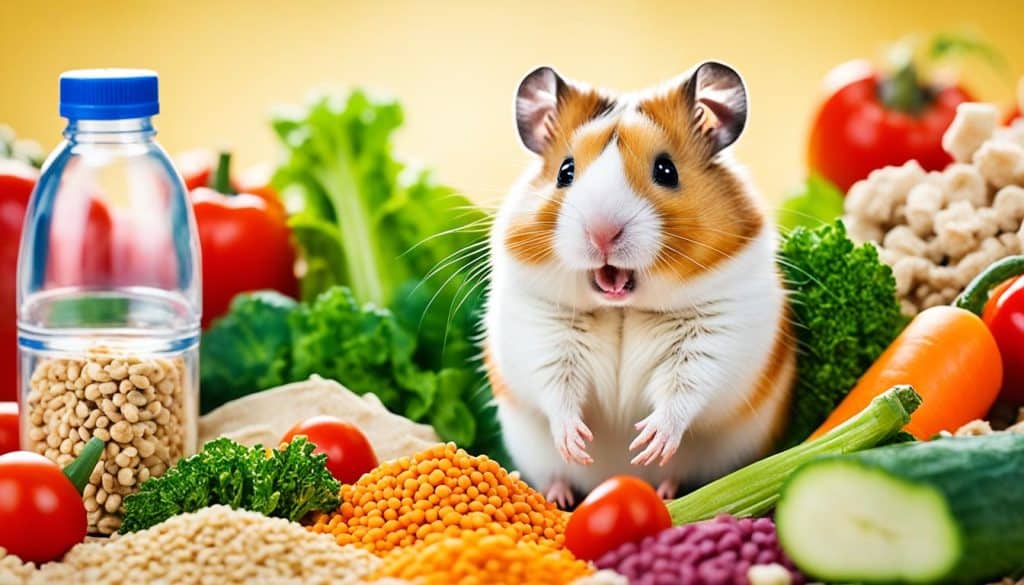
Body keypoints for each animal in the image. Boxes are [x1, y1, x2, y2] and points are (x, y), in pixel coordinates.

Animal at [483, 61, 796, 507]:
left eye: (666, 170)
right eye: (565, 172)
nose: (601, 233)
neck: (622, 308)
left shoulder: (716, 336)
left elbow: (685, 388)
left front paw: (647, 444)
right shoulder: (543, 329)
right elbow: (557, 387)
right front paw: (577, 443)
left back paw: (665, 487)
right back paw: (559, 496)